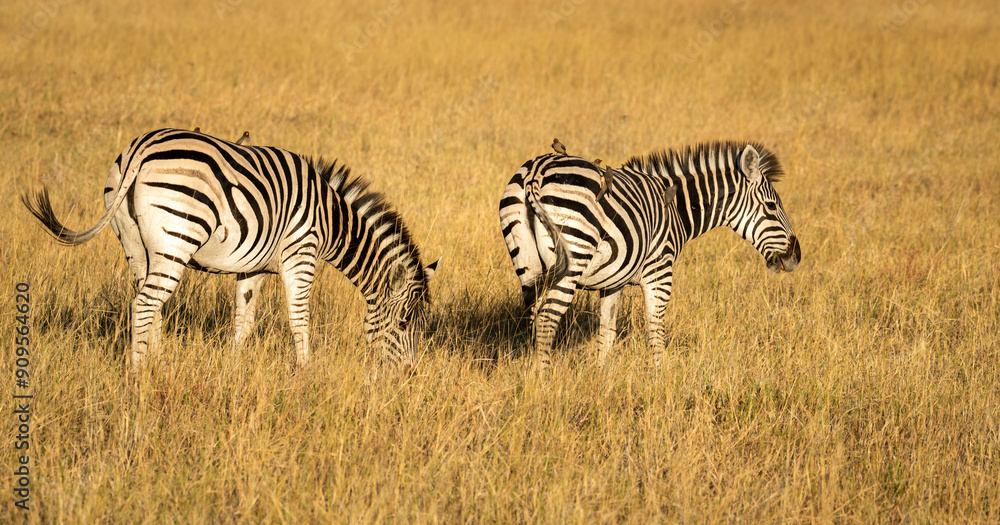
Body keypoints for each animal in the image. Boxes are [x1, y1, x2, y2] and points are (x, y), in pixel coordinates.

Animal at [23, 128, 439, 372]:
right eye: (405, 324)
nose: (409, 375)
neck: (332, 220)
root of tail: (141, 147)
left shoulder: (251, 265)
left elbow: (244, 319)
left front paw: (233, 367)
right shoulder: (301, 256)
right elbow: (299, 319)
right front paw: (306, 373)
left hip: (135, 244)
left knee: (148, 302)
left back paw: (158, 362)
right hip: (177, 236)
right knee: (145, 303)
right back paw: (138, 374)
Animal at [499, 142, 801, 370]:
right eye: (771, 206)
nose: (796, 255)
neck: (676, 210)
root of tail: (537, 170)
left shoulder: (613, 282)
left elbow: (607, 332)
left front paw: (601, 378)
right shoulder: (660, 272)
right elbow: (656, 332)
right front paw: (660, 380)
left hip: (526, 265)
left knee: (531, 319)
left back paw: (533, 377)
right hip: (573, 256)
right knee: (547, 319)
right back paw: (543, 380)